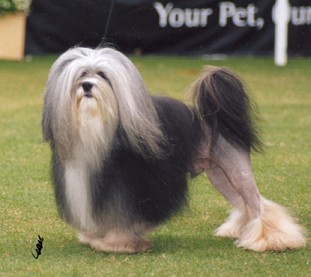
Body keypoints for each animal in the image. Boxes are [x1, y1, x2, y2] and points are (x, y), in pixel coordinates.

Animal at [42, 47, 308, 252]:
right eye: (80, 75)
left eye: (102, 75)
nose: (87, 86)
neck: (98, 128)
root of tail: (216, 118)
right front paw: (94, 236)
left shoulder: (129, 187)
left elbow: (124, 217)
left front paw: (118, 242)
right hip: (220, 175)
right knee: (244, 204)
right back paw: (239, 231)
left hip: (236, 169)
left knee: (259, 204)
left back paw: (272, 240)